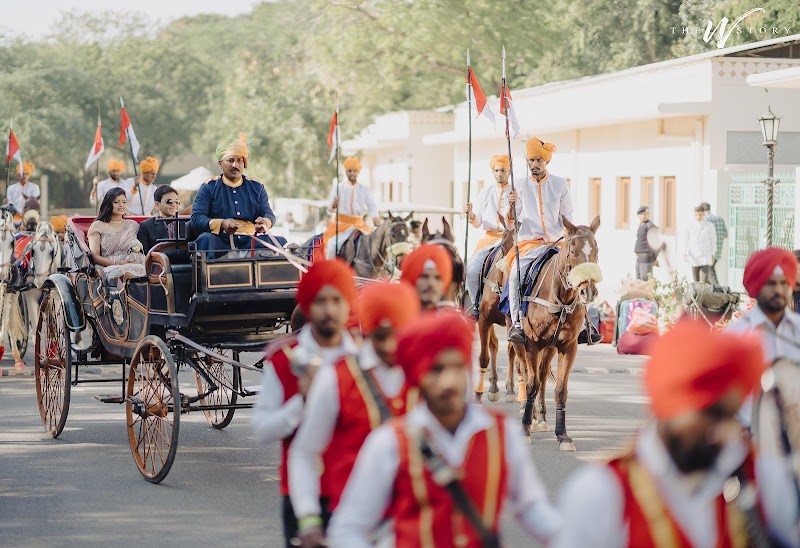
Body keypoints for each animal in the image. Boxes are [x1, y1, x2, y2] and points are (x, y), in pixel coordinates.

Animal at [512, 216, 601, 451]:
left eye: (596, 250)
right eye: (572, 252)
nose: (588, 291)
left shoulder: (567, 347)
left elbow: (560, 390)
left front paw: (563, 435)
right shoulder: (532, 344)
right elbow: (531, 384)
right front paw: (524, 429)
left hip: (549, 347)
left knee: (542, 375)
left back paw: (540, 418)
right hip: (520, 343)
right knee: (526, 372)